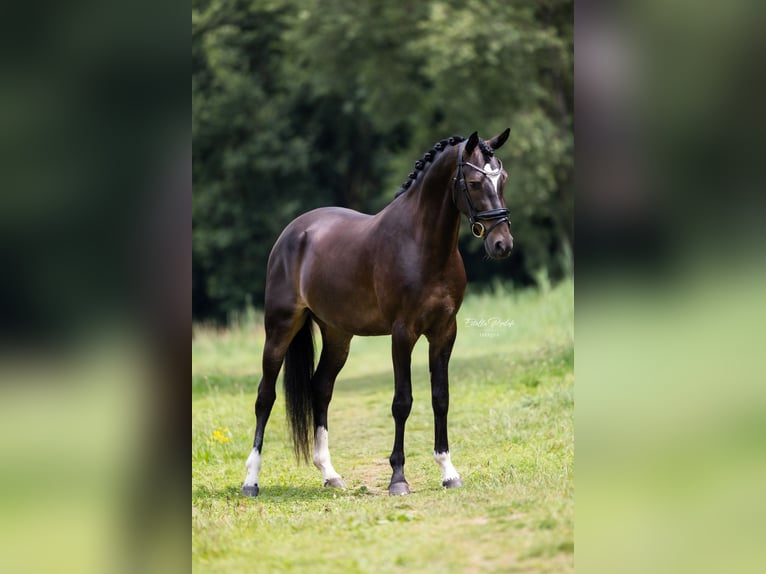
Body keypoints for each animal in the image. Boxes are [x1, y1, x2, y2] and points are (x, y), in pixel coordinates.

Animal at [243, 128, 512, 498]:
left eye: (503, 179)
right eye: (473, 182)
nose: (503, 244)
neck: (421, 245)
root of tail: (294, 232)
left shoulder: (444, 332)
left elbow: (440, 398)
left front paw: (448, 471)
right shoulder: (402, 333)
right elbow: (402, 401)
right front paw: (398, 478)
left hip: (338, 335)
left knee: (320, 388)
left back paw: (329, 474)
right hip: (280, 328)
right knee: (264, 396)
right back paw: (251, 481)